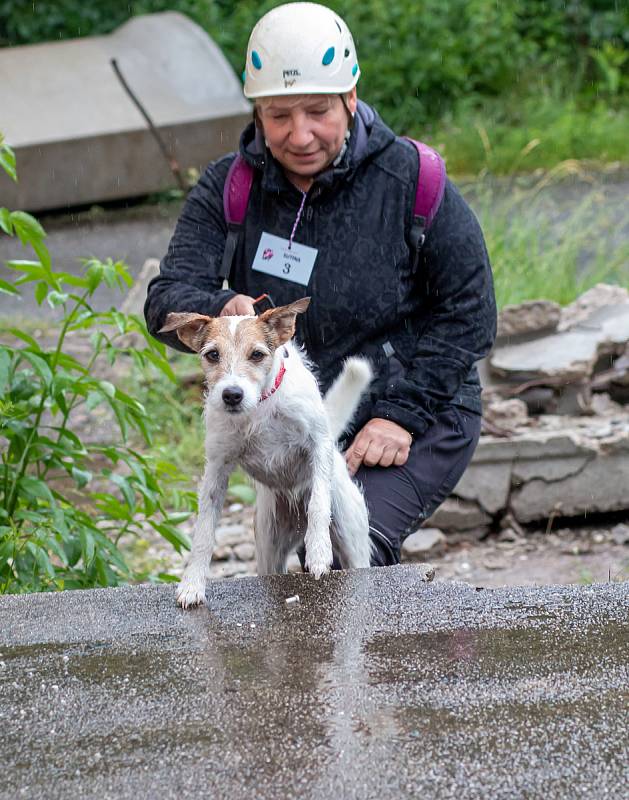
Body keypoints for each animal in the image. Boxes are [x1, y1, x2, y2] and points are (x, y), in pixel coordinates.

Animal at [158, 296, 372, 608]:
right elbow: (204, 532)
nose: (232, 395)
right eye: (212, 355)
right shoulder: (217, 469)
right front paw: (192, 584)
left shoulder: (318, 443)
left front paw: (319, 551)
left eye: (257, 354)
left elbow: (318, 502)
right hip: (268, 548)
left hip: (351, 537)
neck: (261, 406)